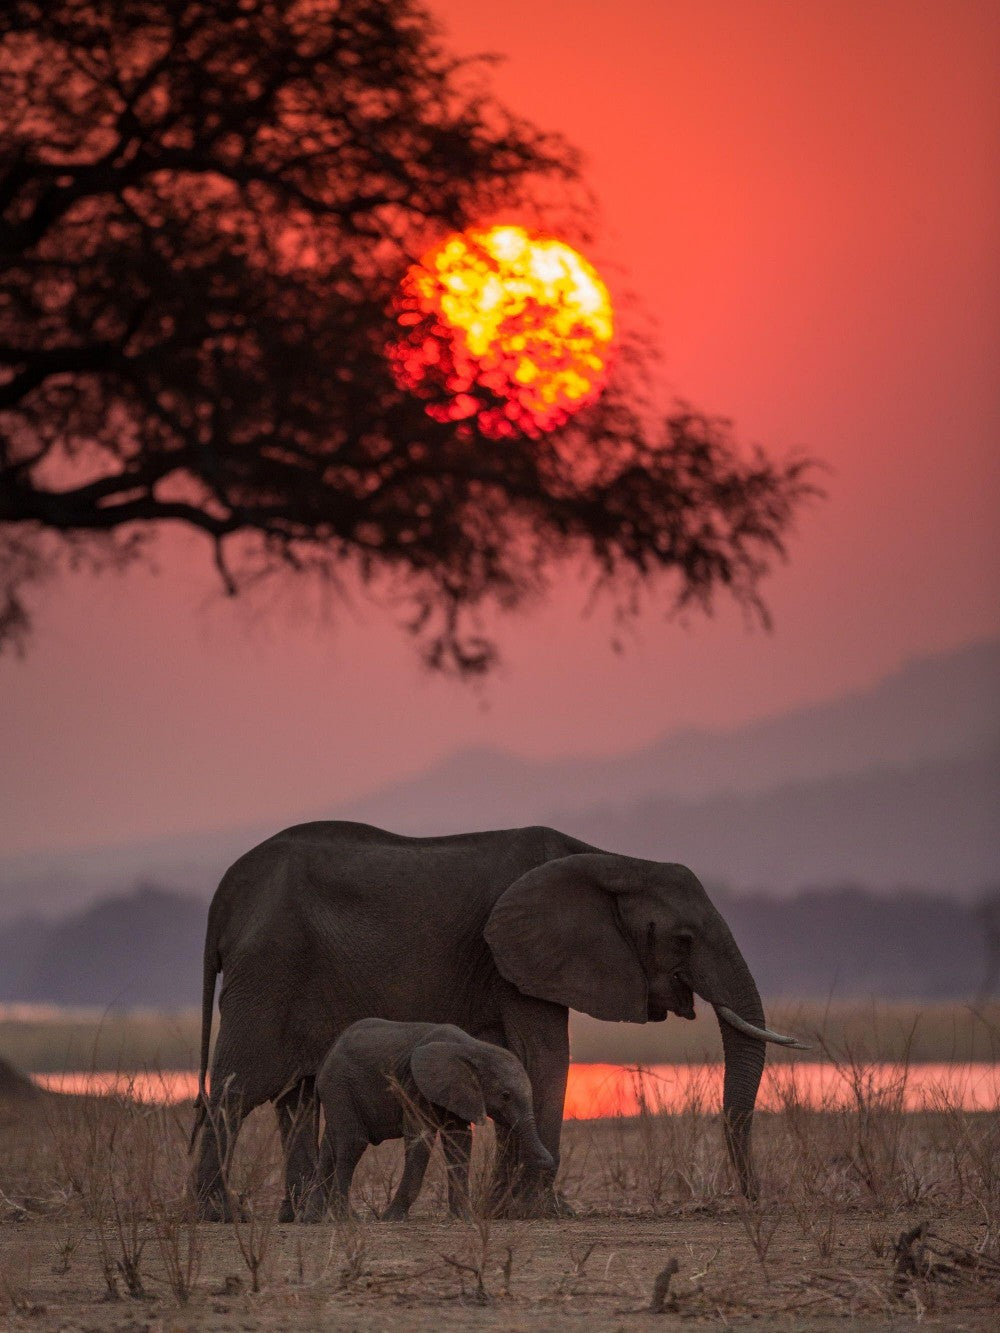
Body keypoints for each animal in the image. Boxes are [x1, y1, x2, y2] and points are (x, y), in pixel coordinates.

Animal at [314, 1017, 554, 1219]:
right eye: (505, 1096)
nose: (547, 1163)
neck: (473, 1048)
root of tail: (328, 1054)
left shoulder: (456, 1091)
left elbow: (459, 1141)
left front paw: (464, 1218)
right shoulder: (414, 1084)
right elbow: (420, 1137)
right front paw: (391, 1218)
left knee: (329, 1146)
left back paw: (314, 1218)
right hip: (339, 1085)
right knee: (352, 1142)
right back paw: (349, 1219)